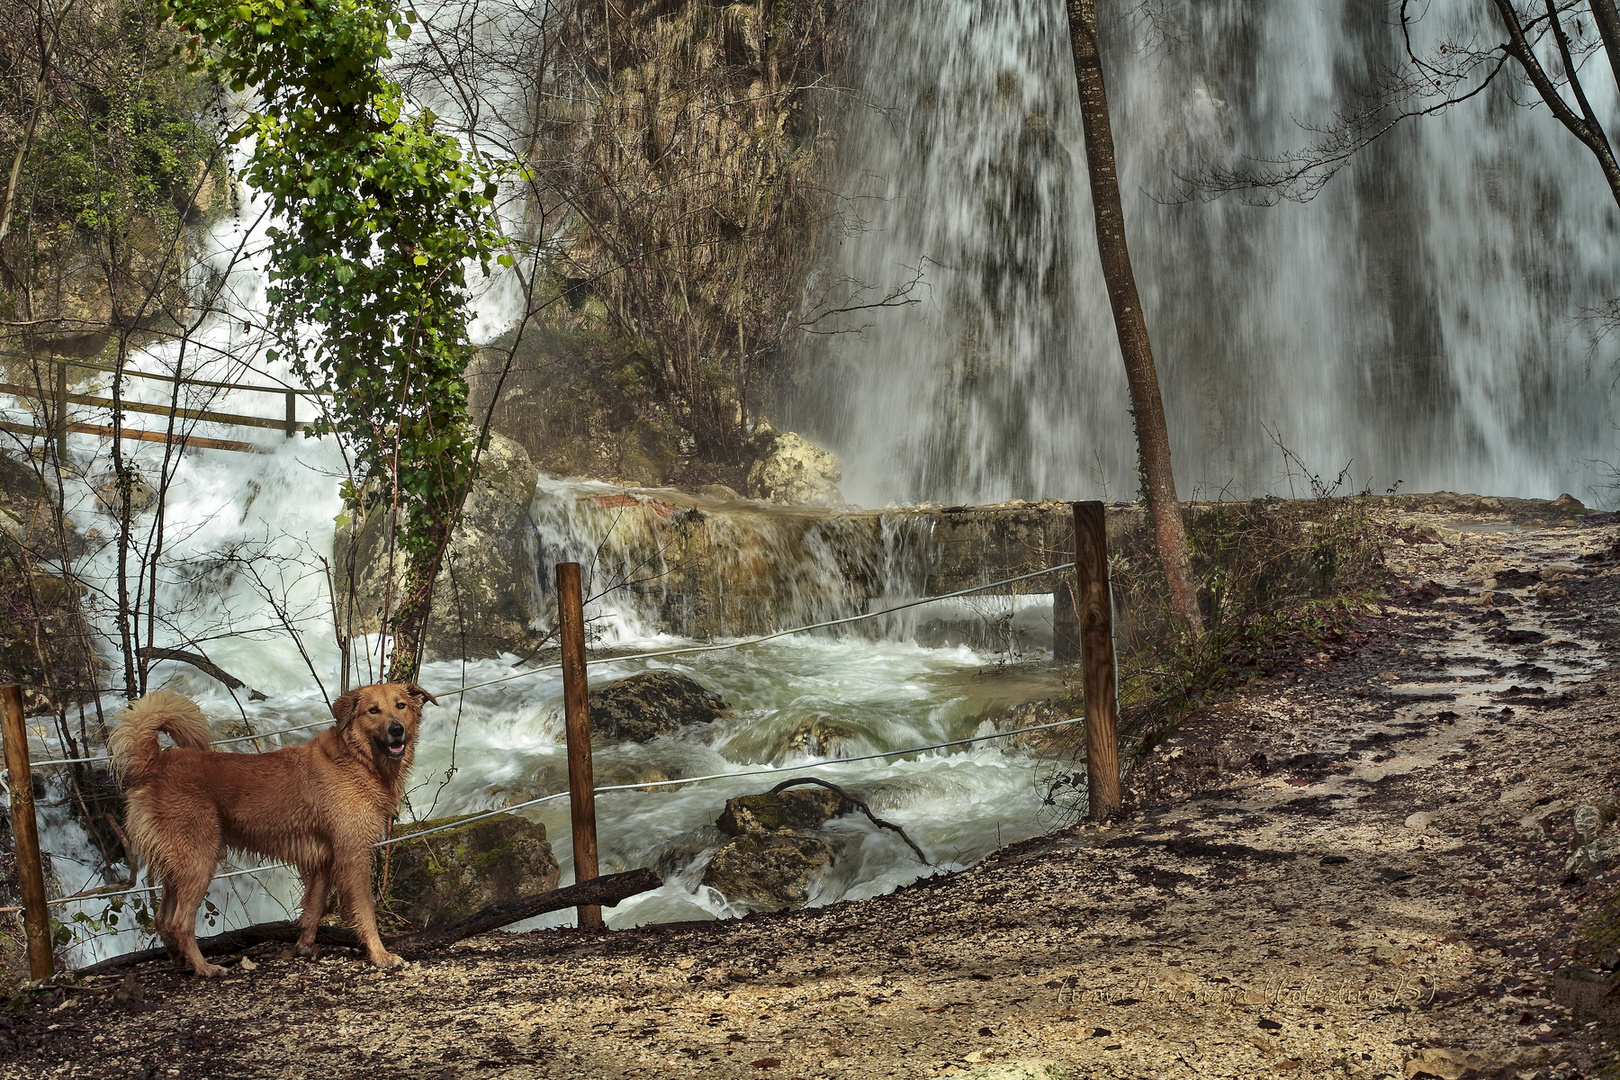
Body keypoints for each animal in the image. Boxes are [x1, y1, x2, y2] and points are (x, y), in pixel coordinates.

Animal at [108, 683, 440, 977]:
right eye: (374, 710)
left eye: (401, 705)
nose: (396, 729)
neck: (356, 759)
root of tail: (155, 761)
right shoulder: (353, 854)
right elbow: (366, 911)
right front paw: (380, 954)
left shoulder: (324, 860)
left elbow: (313, 909)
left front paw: (304, 948)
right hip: (199, 861)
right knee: (180, 923)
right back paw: (205, 968)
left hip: (178, 865)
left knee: (162, 920)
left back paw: (179, 960)